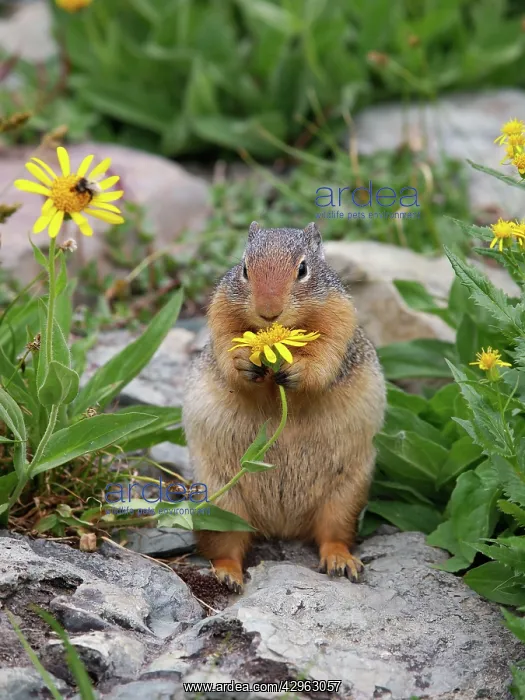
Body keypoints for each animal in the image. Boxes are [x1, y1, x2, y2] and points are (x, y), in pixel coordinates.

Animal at [183, 222, 386, 593]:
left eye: (303, 269)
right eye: (245, 268)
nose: (268, 310)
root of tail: (282, 527)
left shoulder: (339, 316)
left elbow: (325, 356)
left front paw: (296, 370)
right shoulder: (221, 310)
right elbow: (226, 346)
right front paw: (243, 361)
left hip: (346, 495)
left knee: (333, 534)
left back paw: (342, 562)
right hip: (220, 501)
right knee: (226, 545)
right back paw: (227, 575)